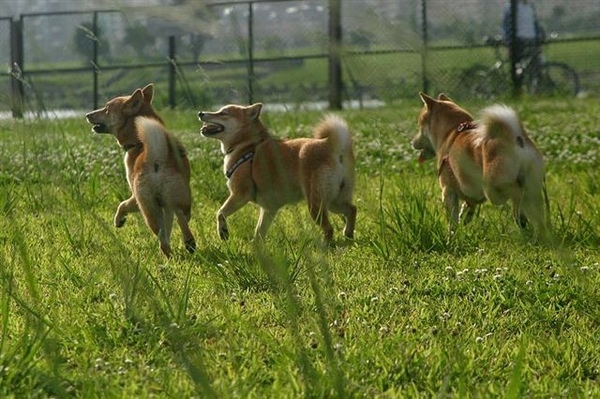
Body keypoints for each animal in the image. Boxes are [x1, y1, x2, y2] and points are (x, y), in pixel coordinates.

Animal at [197, 103, 356, 244]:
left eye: (223, 113)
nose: (200, 113)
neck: (247, 146)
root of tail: (329, 145)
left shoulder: (240, 195)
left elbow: (220, 213)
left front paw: (223, 232)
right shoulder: (269, 209)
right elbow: (259, 231)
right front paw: (256, 248)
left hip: (315, 204)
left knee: (329, 228)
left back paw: (325, 245)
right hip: (334, 200)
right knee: (352, 209)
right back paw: (348, 234)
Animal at [412, 92, 548, 239]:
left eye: (419, 126)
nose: (412, 142)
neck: (451, 132)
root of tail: (516, 139)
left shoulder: (448, 191)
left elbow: (451, 220)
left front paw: (451, 236)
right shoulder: (470, 193)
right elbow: (468, 206)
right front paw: (464, 218)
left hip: (494, 188)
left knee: (518, 193)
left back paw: (521, 214)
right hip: (532, 185)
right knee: (536, 212)